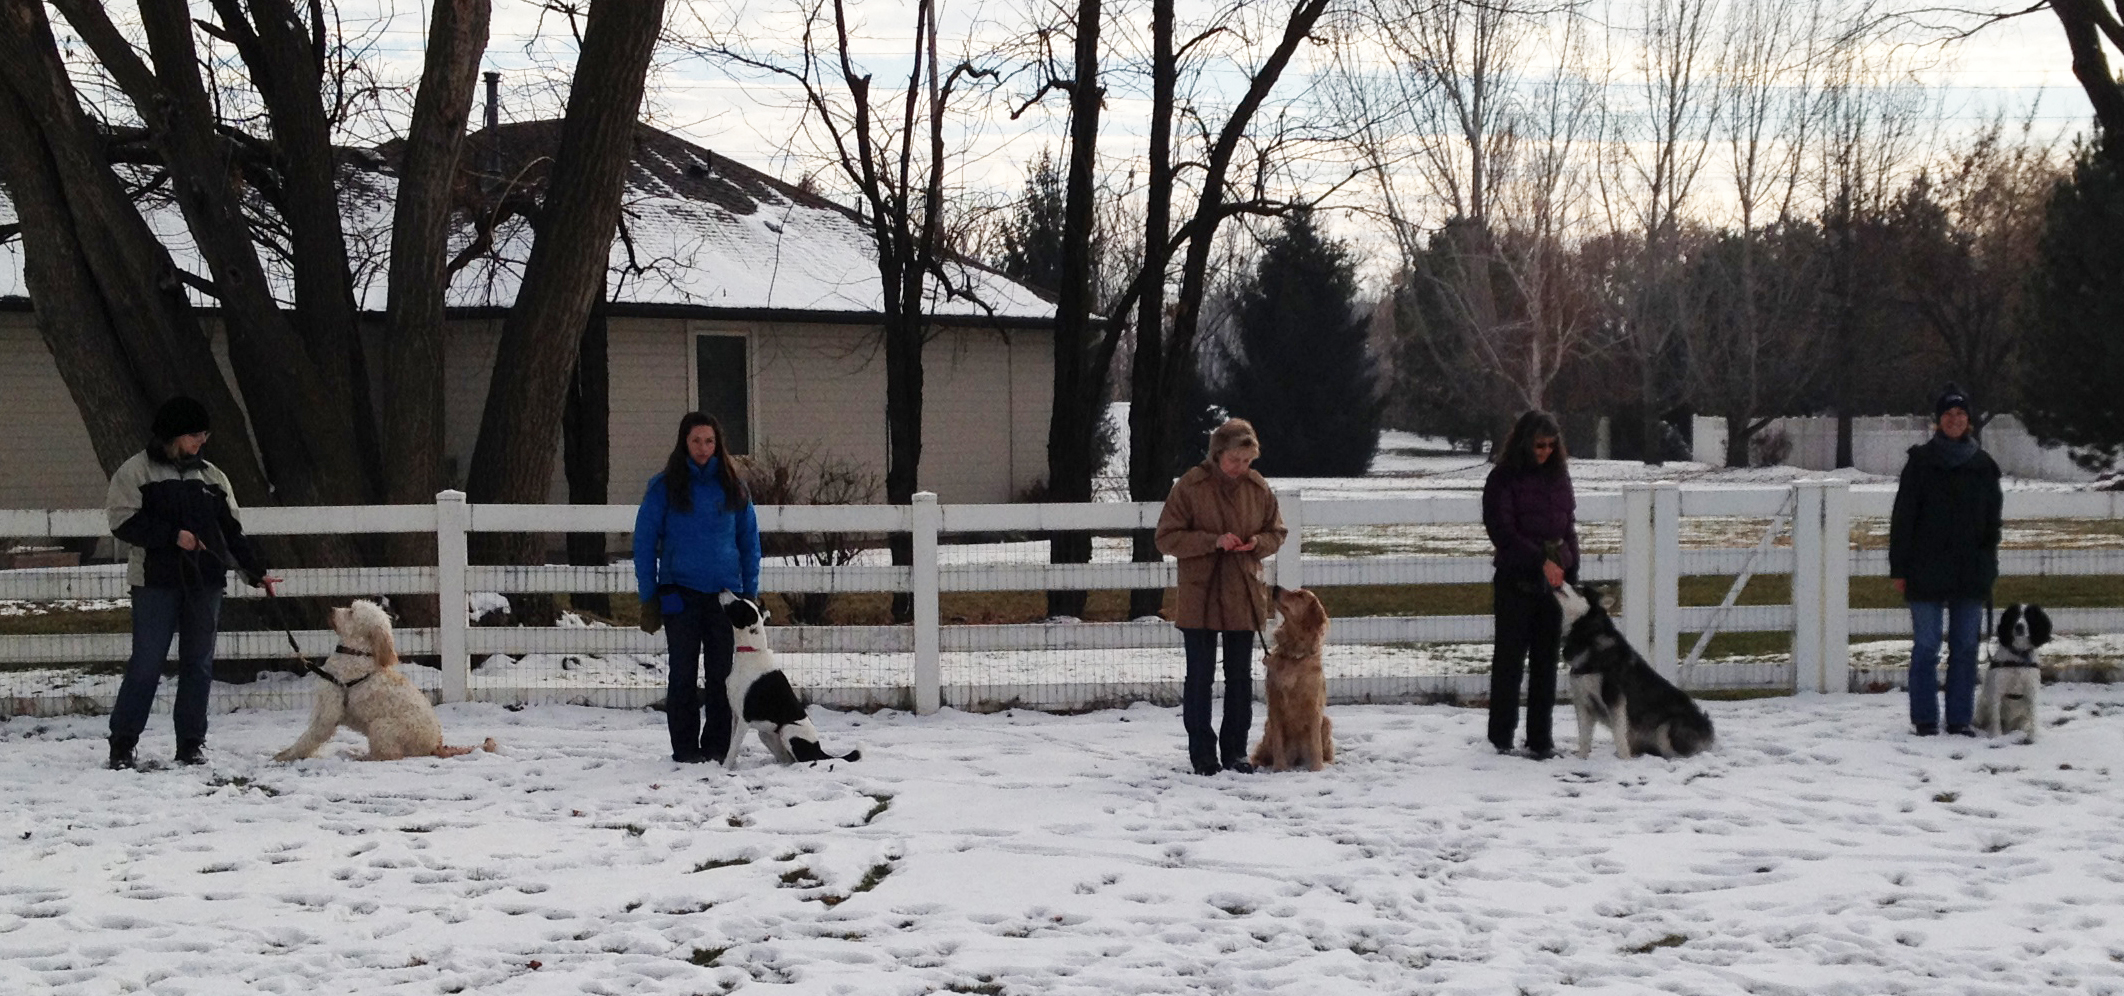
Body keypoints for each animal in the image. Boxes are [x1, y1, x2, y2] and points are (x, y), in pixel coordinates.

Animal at [274, 600, 496, 762]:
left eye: (351, 612)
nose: (331, 609)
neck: (354, 655)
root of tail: (436, 745)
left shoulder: (328, 714)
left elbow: (310, 737)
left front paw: (286, 756)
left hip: (381, 727)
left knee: (389, 755)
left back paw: (362, 757)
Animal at [719, 592, 861, 767]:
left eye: (738, 605)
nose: (722, 589)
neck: (751, 653)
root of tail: (818, 749)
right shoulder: (736, 716)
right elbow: (732, 746)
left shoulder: (745, 719)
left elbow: (733, 749)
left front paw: (724, 769)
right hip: (767, 734)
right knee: (787, 759)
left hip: (788, 730)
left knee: (804, 759)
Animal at [1249, 585, 1335, 771]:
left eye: (1300, 595)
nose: (1275, 587)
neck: (1294, 655)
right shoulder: (1274, 705)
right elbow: (1278, 743)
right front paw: (1279, 768)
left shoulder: (1313, 706)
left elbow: (1315, 743)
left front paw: (1317, 769)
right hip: (1267, 726)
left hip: (1326, 722)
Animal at [1555, 583, 1715, 760]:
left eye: (1579, 589)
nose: (1559, 583)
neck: (1589, 639)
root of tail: (1708, 732)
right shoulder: (1583, 701)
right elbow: (1584, 737)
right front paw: (1581, 757)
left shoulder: (1615, 698)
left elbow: (1619, 734)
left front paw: (1624, 759)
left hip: (1666, 728)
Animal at [1977, 603, 2051, 742]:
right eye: (2014, 615)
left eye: (2029, 616)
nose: (2019, 626)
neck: (2018, 657)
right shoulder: (1997, 691)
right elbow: (1995, 718)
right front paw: (1996, 737)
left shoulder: (2031, 690)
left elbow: (2033, 717)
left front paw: (2032, 738)